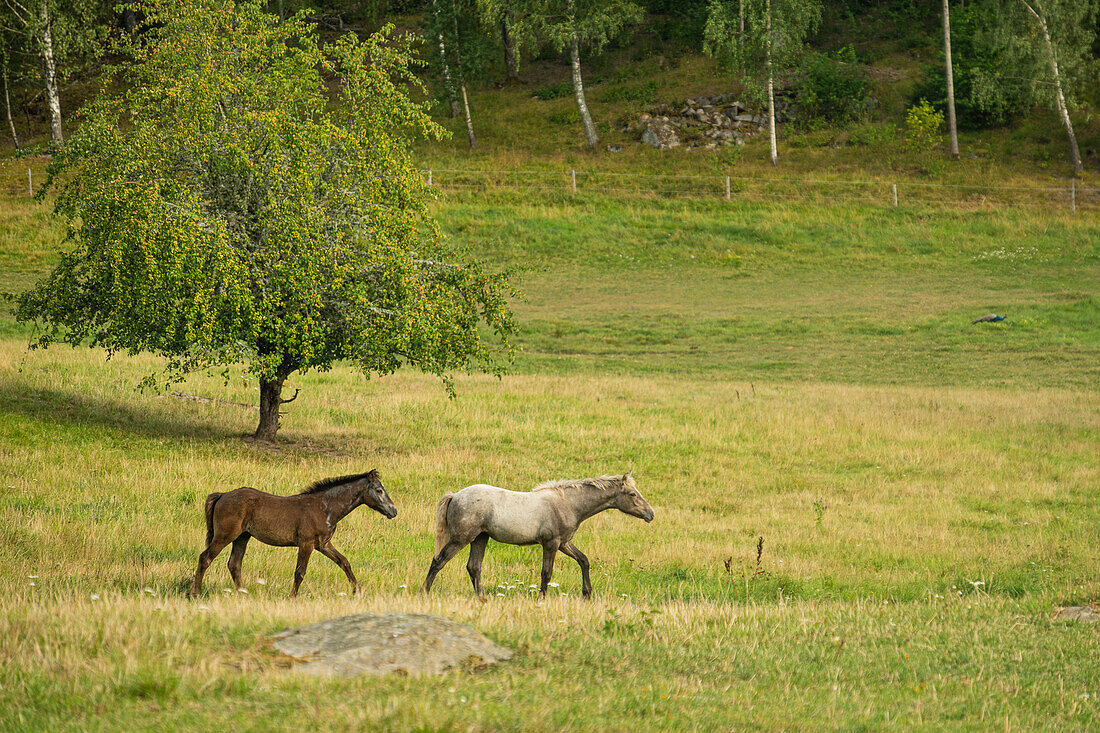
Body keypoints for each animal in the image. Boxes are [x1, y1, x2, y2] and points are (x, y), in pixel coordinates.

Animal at [188, 471, 396, 598]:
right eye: (379, 490)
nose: (393, 511)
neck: (324, 507)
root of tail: (223, 495)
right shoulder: (306, 543)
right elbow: (300, 572)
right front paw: (292, 597)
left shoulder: (323, 544)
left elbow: (344, 562)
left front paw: (357, 591)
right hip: (225, 535)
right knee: (205, 558)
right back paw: (194, 594)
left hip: (242, 537)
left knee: (234, 564)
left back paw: (244, 593)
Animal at [418, 471, 642, 598]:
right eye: (632, 494)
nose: (649, 514)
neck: (566, 503)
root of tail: (455, 495)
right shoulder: (551, 544)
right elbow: (546, 572)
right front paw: (541, 598)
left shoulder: (564, 543)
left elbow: (583, 560)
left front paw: (587, 594)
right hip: (461, 538)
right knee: (439, 560)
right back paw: (423, 592)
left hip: (480, 538)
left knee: (473, 567)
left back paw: (481, 597)